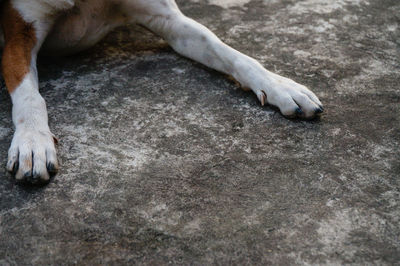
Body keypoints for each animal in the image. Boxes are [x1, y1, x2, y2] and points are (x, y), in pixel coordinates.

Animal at [0, 0, 324, 184]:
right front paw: (33, 141)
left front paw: (280, 85)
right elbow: (30, 97)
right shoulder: (19, 37)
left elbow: (227, 50)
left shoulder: (171, 21)